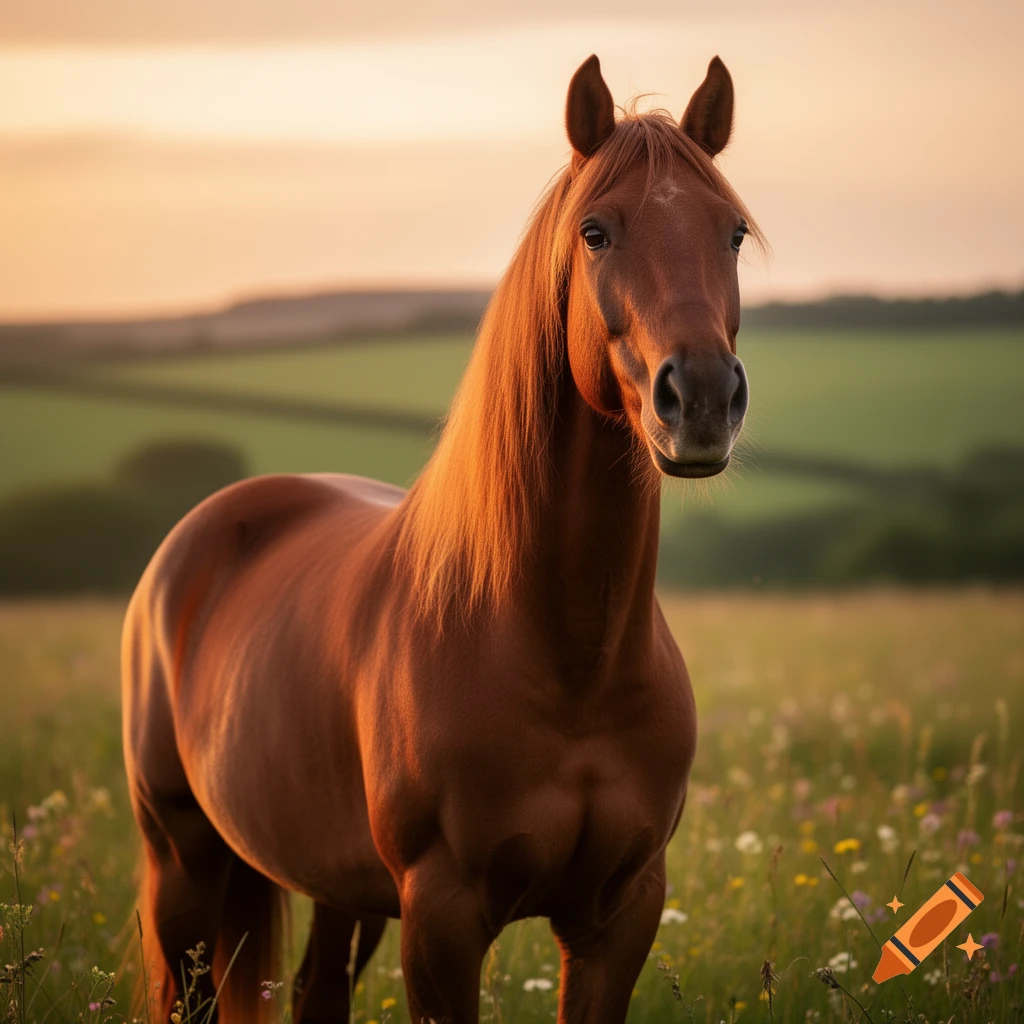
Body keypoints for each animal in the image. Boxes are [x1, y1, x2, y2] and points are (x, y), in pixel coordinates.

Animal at [122, 53, 759, 1024]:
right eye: (596, 233)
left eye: (732, 234)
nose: (702, 400)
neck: (570, 661)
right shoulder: (443, 917)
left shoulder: (620, 914)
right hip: (182, 863)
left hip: (337, 888)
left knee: (315, 990)